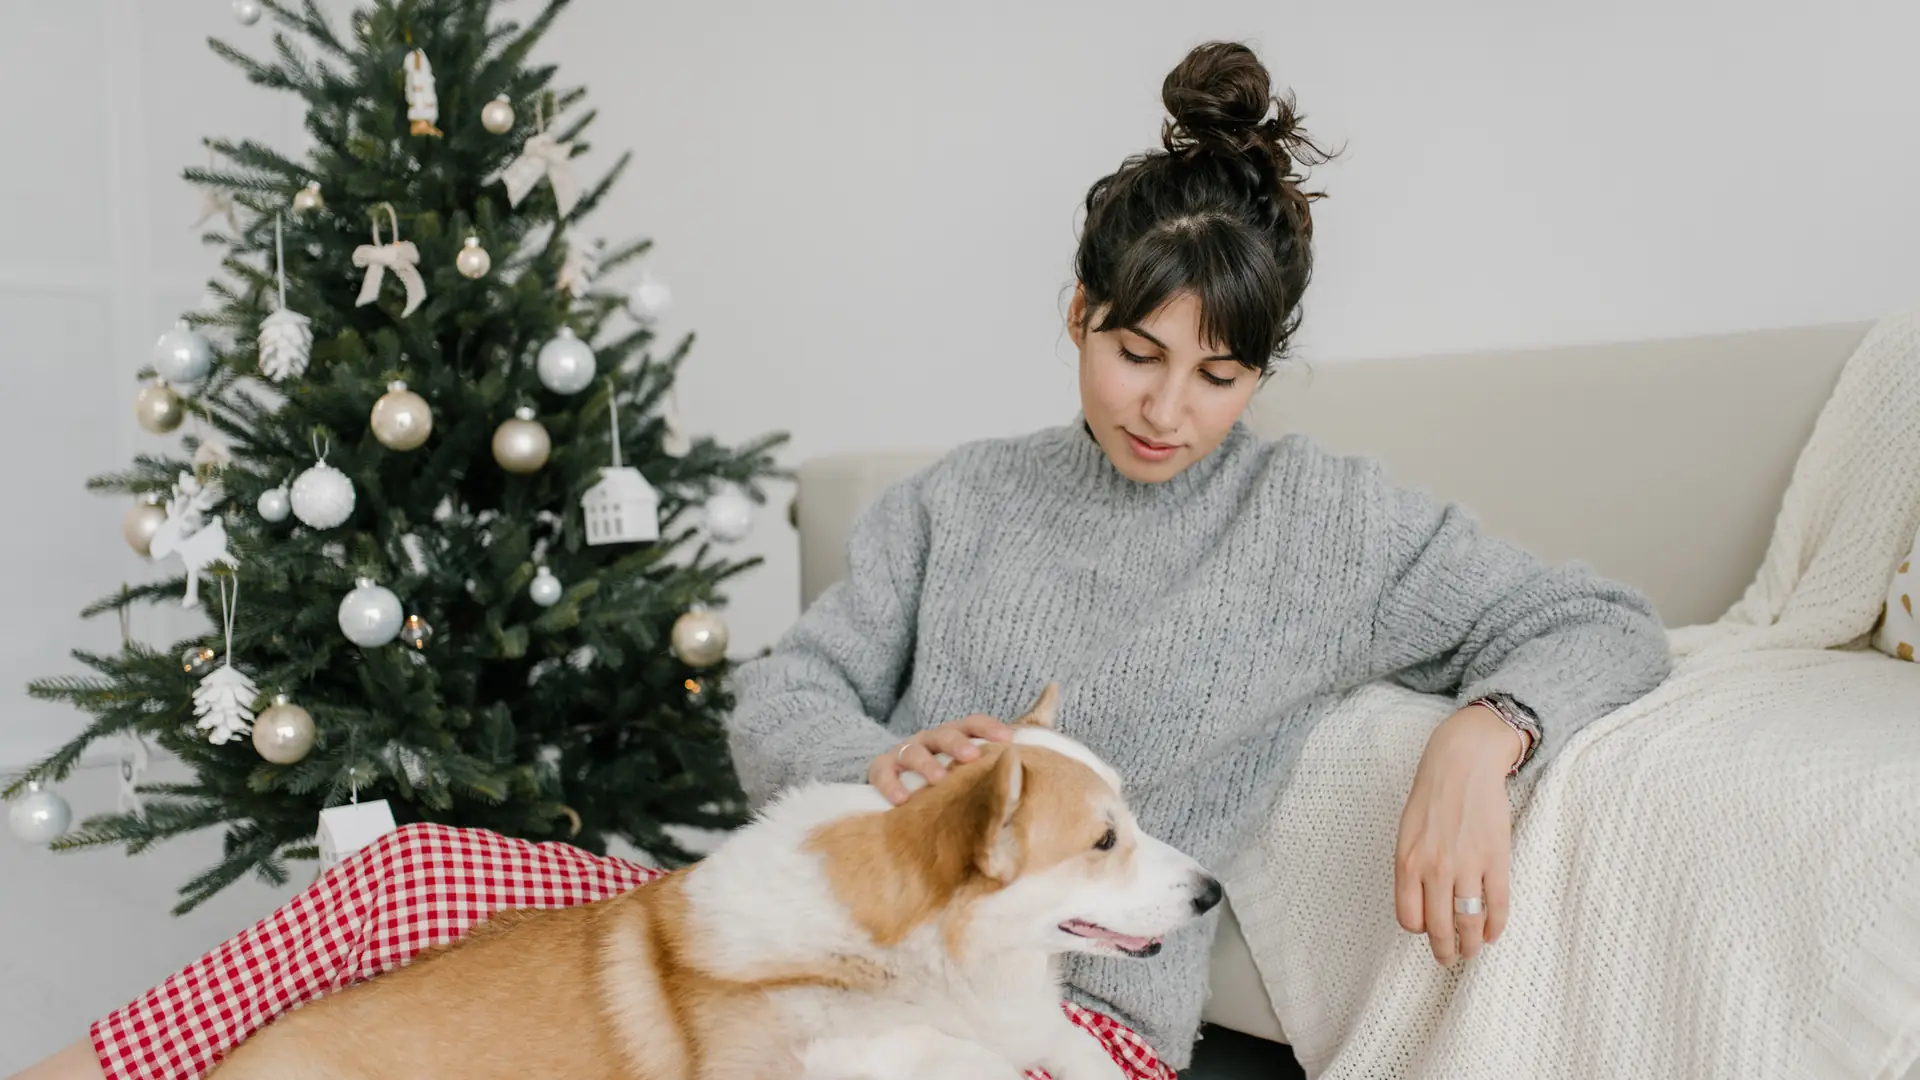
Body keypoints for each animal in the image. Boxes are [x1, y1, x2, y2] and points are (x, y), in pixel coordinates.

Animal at [202, 680, 1221, 1076]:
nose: (1213, 894)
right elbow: (954, 1061)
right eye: (1103, 840)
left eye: (1130, 823)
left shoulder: (1035, 1025)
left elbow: (1075, 1051)